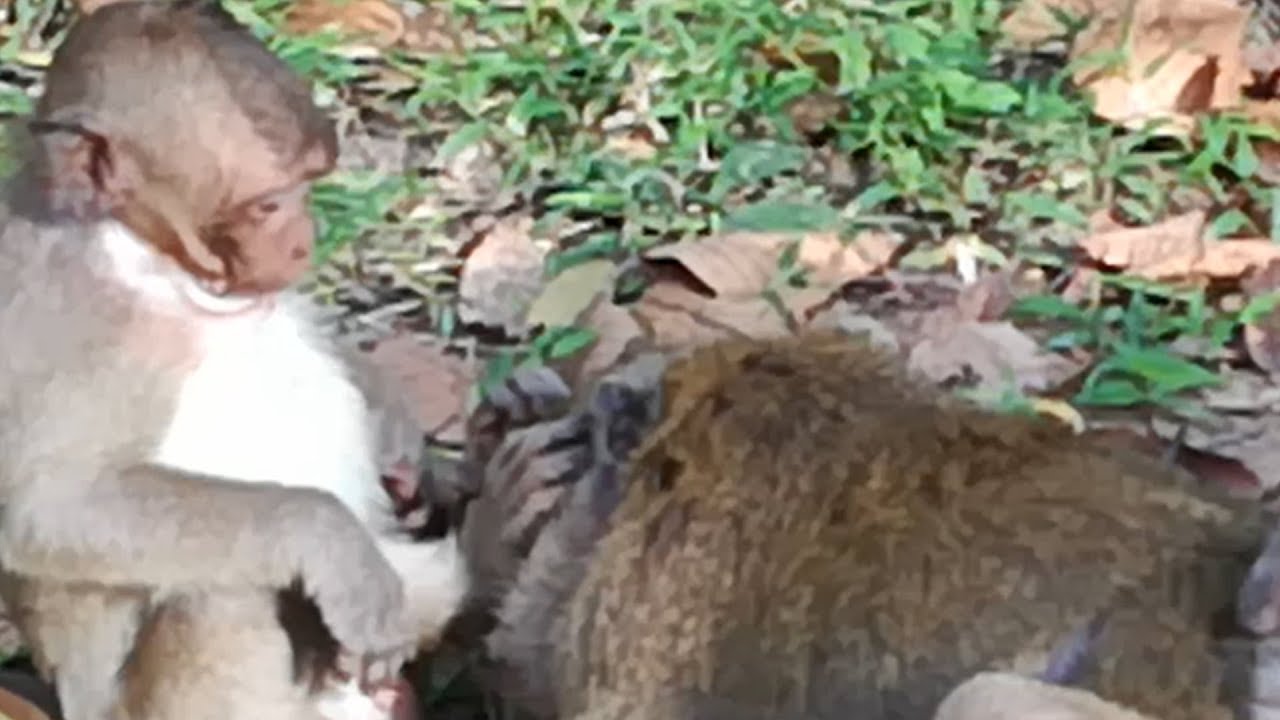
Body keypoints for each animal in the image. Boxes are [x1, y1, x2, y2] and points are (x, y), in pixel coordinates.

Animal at [0, 1, 467, 719]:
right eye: (266, 203)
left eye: (311, 182)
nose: (304, 241)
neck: (152, 263)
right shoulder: (66, 309)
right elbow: (47, 508)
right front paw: (329, 541)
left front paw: (403, 446)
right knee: (221, 595)